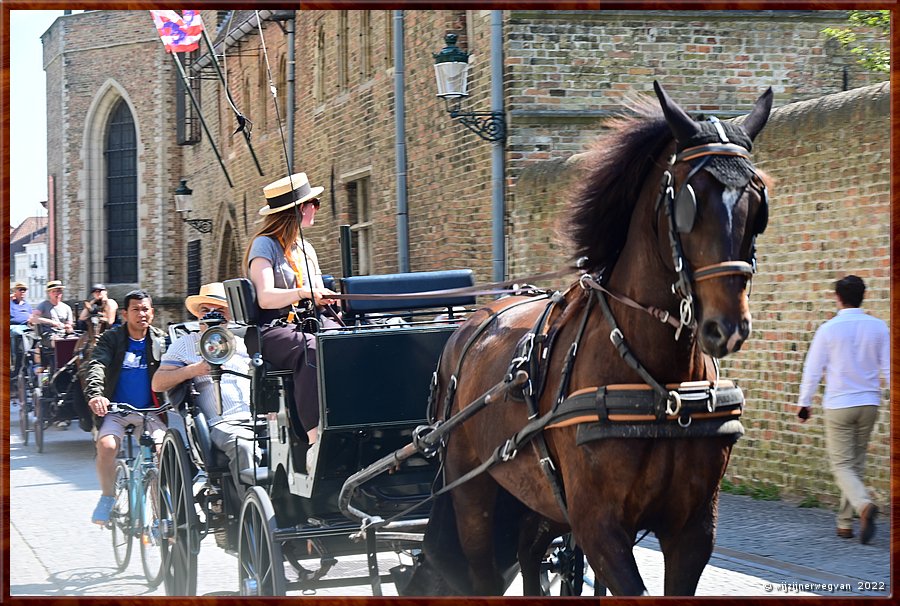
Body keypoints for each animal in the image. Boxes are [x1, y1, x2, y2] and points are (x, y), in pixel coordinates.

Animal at [414, 82, 772, 600]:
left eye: (758, 204)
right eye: (688, 203)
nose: (726, 327)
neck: (660, 386)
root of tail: (470, 326)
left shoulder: (693, 529)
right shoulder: (599, 526)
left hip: (538, 499)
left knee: (528, 553)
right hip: (472, 492)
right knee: (481, 570)